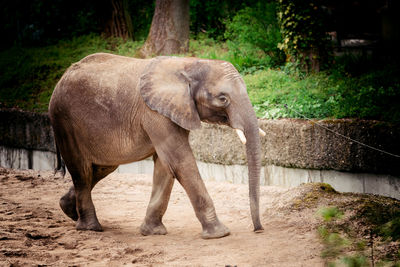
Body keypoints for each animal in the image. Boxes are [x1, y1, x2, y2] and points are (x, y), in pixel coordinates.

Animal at [48, 52, 264, 241]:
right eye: (222, 98)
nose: (258, 230)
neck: (187, 64)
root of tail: (60, 79)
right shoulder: (154, 113)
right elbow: (180, 161)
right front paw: (220, 234)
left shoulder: (173, 111)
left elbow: (166, 165)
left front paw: (152, 232)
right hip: (64, 121)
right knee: (82, 170)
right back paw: (90, 228)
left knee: (100, 168)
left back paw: (69, 211)